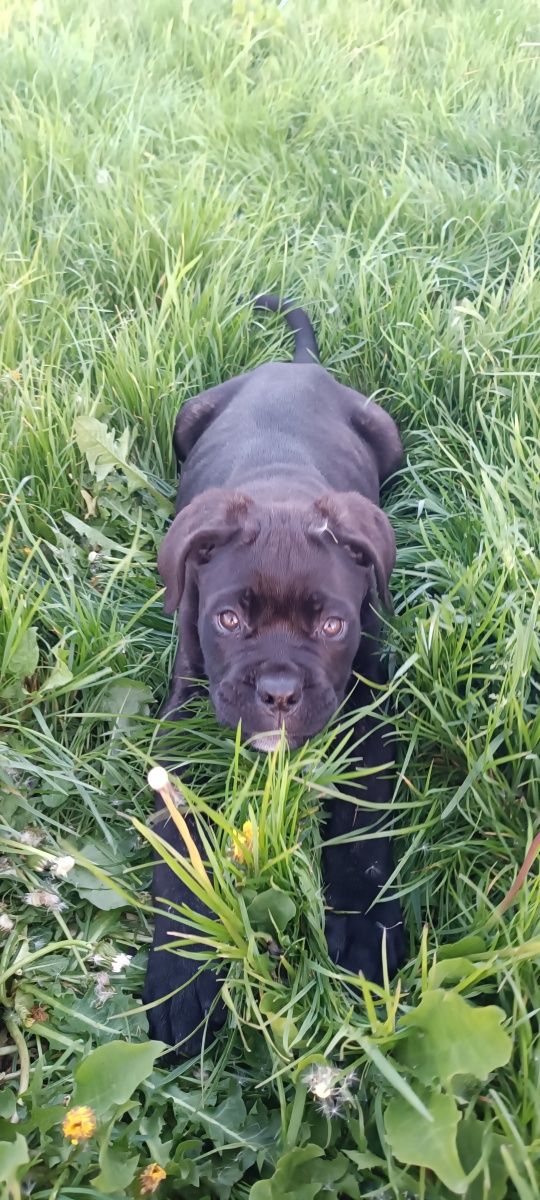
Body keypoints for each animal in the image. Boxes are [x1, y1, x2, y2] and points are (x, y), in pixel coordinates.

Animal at [143, 295, 405, 1056]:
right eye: (228, 620)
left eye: (333, 627)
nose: (279, 695)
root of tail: (295, 366)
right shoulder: (184, 718)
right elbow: (179, 845)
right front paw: (181, 973)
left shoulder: (367, 709)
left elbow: (365, 825)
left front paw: (366, 931)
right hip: (185, 419)